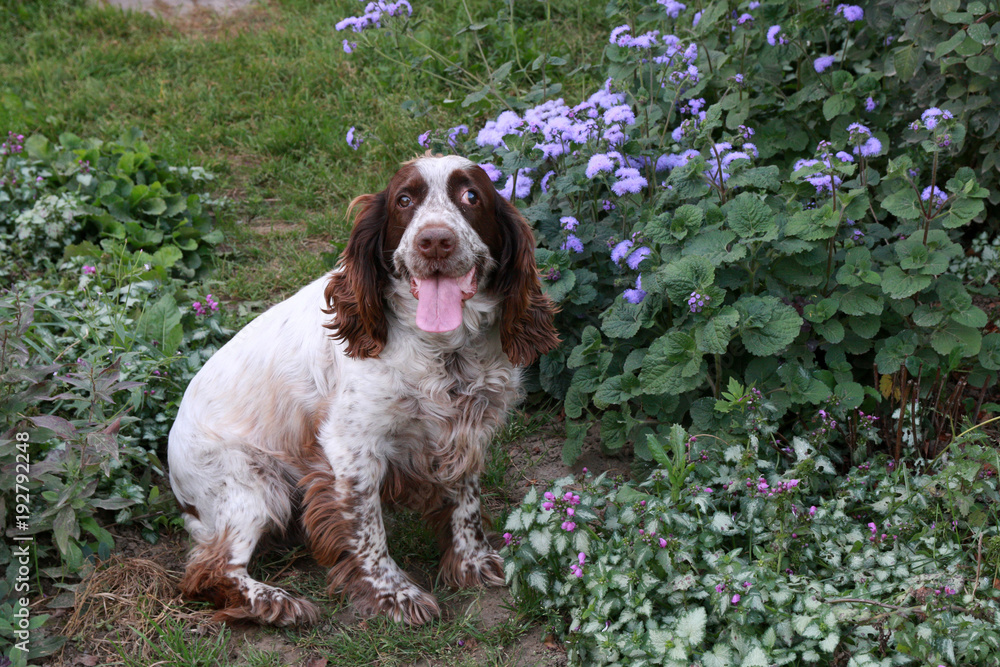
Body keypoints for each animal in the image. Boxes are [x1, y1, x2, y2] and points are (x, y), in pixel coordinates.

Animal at [167, 155, 560, 628]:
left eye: (471, 196)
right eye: (404, 200)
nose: (435, 241)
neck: (445, 349)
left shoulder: (463, 430)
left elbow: (465, 503)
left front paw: (471, 561)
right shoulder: (351, 448)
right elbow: (367, 529)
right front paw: (395, 595)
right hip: (253, 487)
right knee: (209, 571)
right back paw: (276, 603)